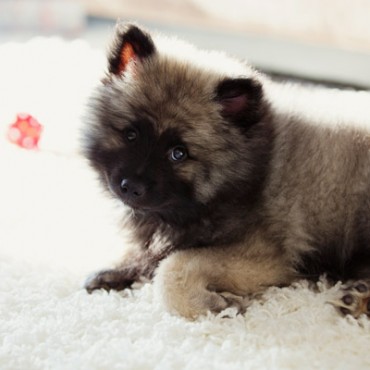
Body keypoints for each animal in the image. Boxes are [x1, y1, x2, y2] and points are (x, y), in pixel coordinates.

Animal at [82, 22, 370, 318]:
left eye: (178, 153)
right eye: (131, 135)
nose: (130, 187)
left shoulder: (264, 255)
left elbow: (172, 269)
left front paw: (218, 304)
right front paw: (119, 268)